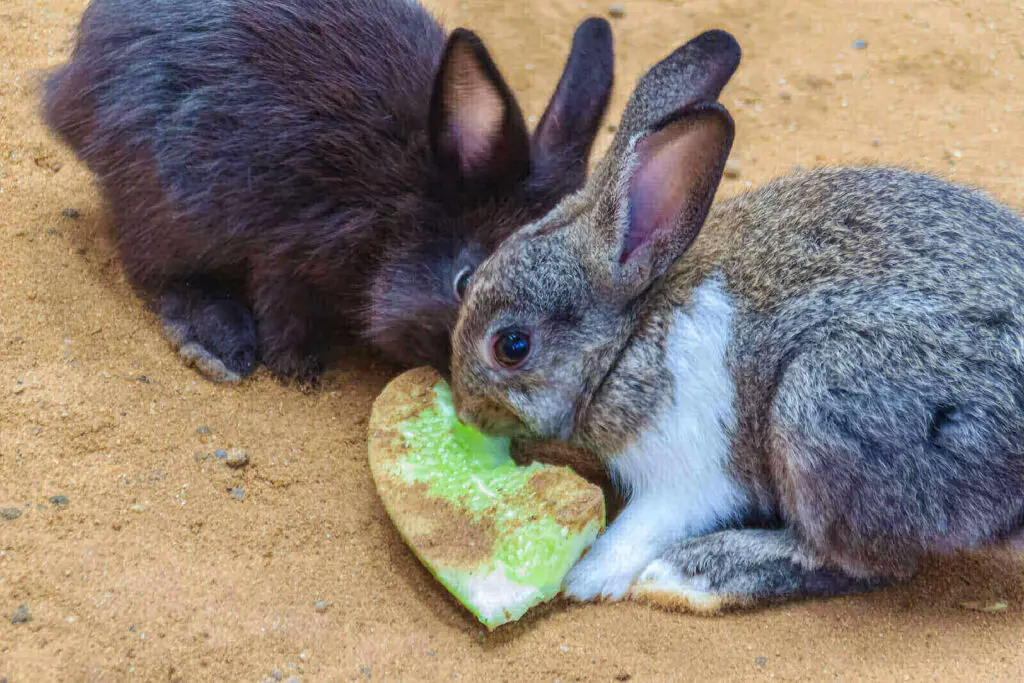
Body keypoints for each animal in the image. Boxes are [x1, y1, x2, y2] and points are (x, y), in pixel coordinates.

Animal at [44, 0, 610, 385]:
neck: (400, 208)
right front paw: (299, 370)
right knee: (156, 271)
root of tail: (69, 86)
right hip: (168, 206)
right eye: (464, 282)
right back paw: (220, 345)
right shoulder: (292, 248)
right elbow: (283, 310)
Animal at [448, 29, 1024, 610]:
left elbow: (641, 527)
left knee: (854, 561)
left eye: (512, 347)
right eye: (466, 284)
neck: (627, 340)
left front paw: (585, 578)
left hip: (821, 408)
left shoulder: (685, 475)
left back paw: (689, 574)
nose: (467, 413)